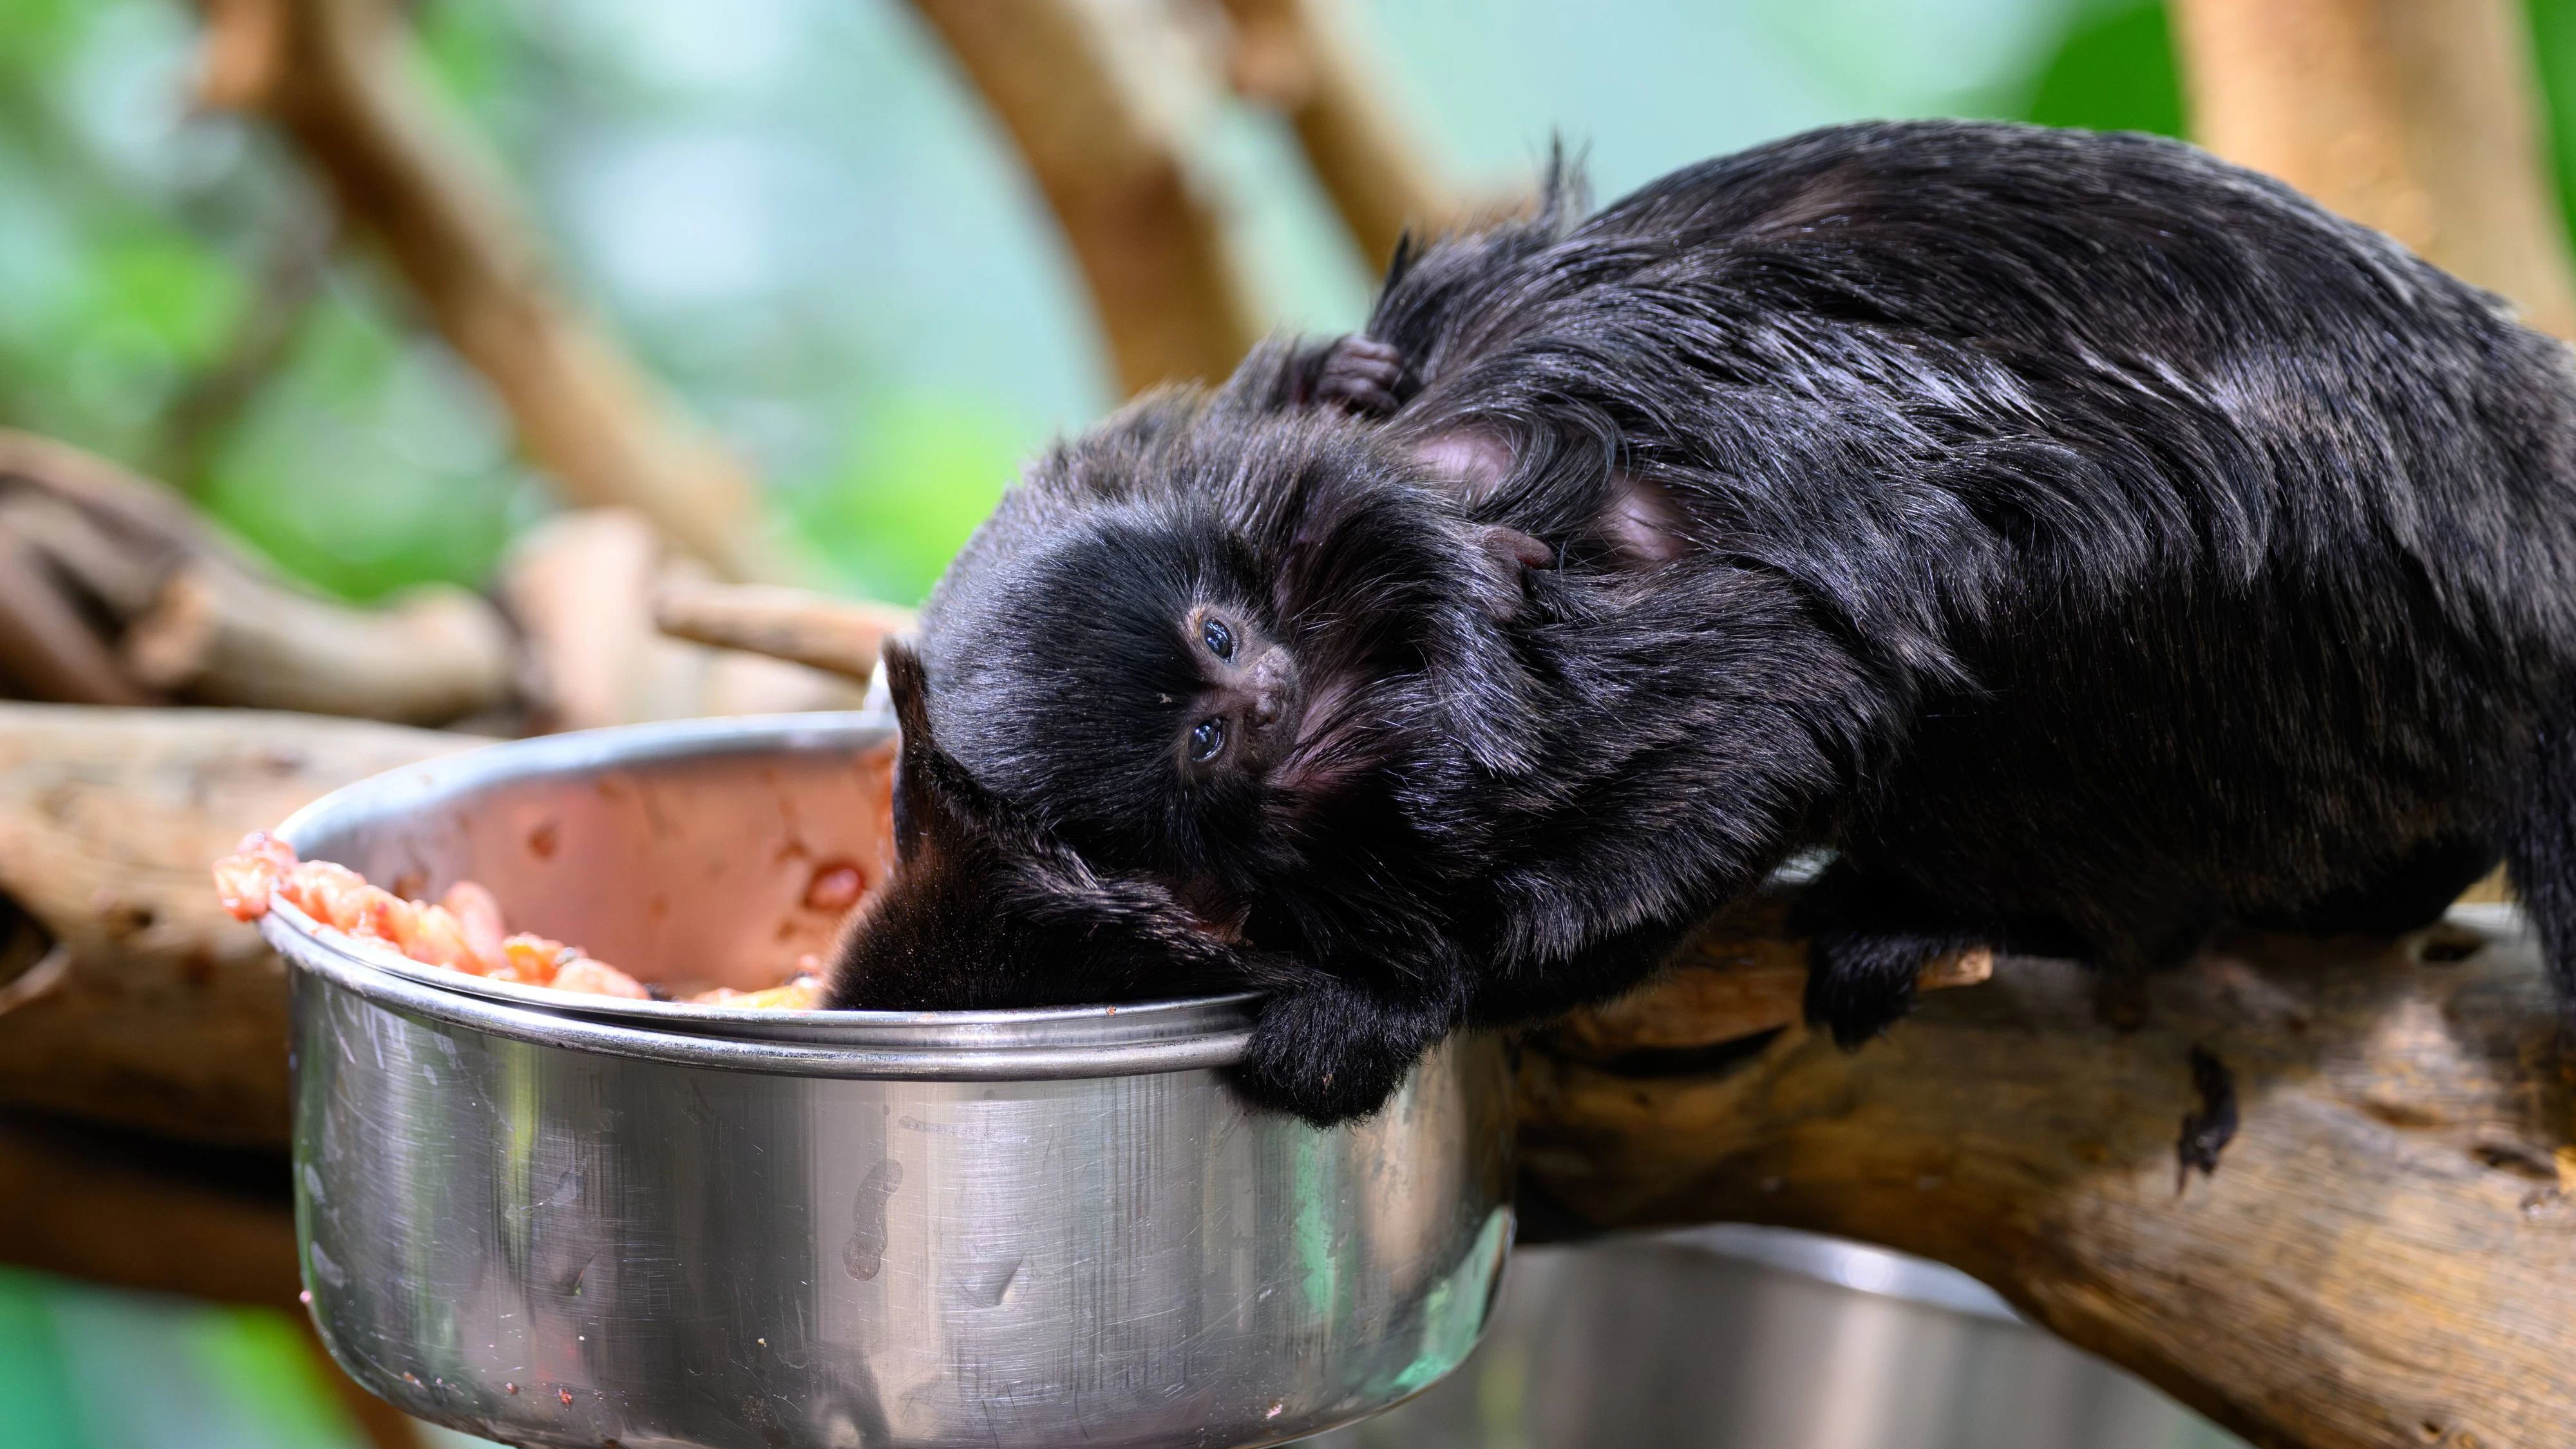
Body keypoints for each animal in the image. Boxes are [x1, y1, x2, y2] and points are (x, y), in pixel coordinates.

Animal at [831, 119, 2576, 1126]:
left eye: (1216, 645)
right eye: (1201, 737)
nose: (1276, 696)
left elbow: (1788, 707)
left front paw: (1398, 1000)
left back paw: (1969, 912)